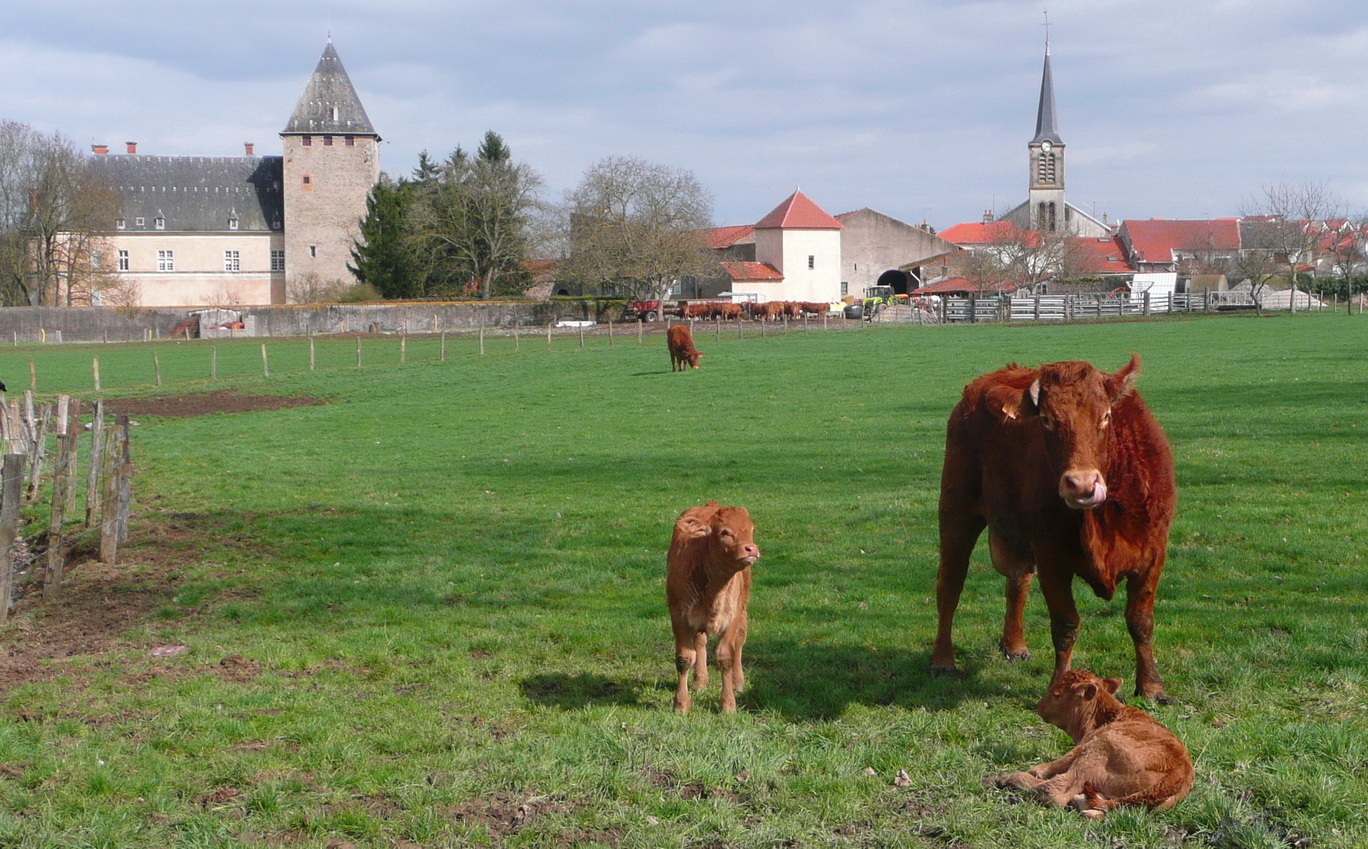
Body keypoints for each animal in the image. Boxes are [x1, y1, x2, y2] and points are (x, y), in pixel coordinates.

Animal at [667, 500, 766, 710]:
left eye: (751, 529)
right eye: (724, 532)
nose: (751, 549)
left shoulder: (731, 616)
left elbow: (725, 656)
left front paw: (728, 704)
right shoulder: (678, 615)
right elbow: (684, 658)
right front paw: (681, 704)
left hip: (742, 607)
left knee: (739, 641)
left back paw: (738, 682)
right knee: (700, 642)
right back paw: (700, 680)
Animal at [935, 355, 1181, 699]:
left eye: (1105, 416)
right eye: (1047, 420)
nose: (1081, 484)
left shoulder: (1152, 554)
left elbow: (1140, 621)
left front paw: (1151, 686)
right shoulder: (1052, 558)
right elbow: (1066, 625)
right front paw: (1059, 687)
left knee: (1017, 582)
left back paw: (1015, 645)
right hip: (956, 510)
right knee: (950, 584)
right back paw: (943, 660)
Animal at [990, 669, 1192, 814]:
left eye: (1056, 694)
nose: (1039, 705)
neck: (1107, 715)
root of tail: (1179, 775)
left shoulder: (1087, 743)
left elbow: (1061, 760)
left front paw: (1036, 770)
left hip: (1099, 749)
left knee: (1055, 789)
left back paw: (1010, 778)